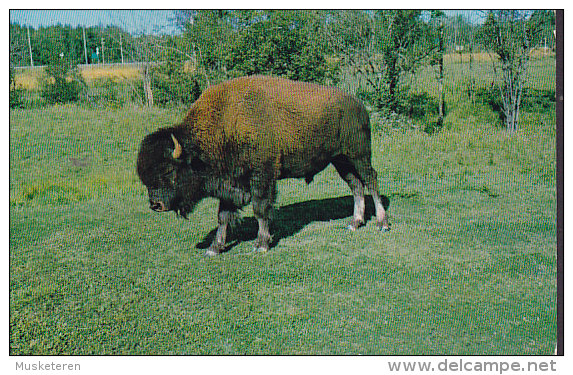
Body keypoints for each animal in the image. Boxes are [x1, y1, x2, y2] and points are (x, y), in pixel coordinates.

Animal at [135, 75, 388, 258]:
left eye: (169, 171)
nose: (155, 204)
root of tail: (359, 105)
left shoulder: (262, 177)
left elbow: (260, 210)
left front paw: (261, 244)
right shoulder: (229, 183)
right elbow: (223, 216)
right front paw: (214, 248)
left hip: (358, 155)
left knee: (371, 181)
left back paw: (382, 224)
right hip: (341, 161)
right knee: (356, 185)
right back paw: (354, 223)